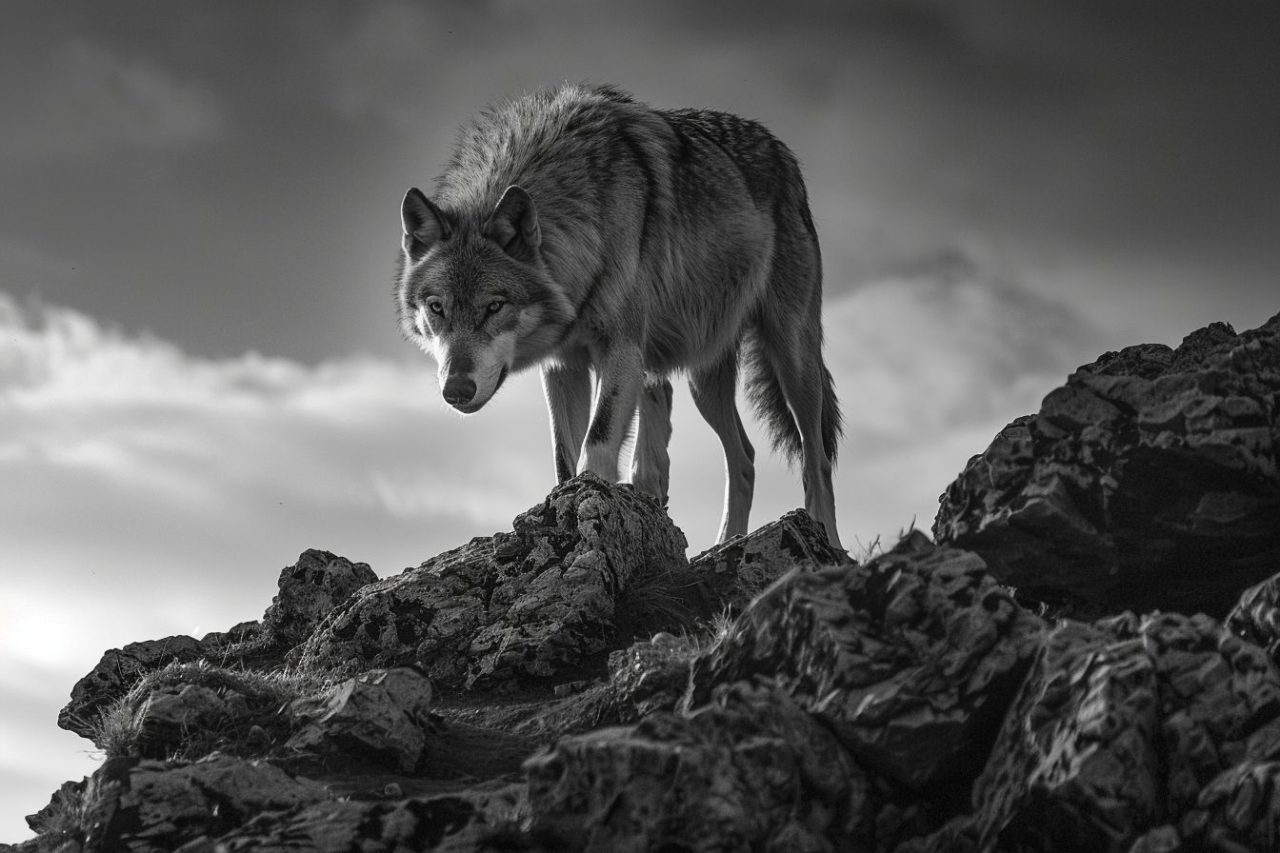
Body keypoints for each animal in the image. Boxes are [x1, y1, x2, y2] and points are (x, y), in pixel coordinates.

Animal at [395, 84, 844, 549]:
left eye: (494, 306)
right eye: (437, 307)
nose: (456, 390)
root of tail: (781, 149)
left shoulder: (622, 350)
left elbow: (597, 442)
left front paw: (589, 512)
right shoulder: (563, 365)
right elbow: (564, 459)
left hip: (791, 358)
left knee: (815, 459)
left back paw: (826, 539)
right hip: (702, 378)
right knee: (744, 457)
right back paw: (724, 540)